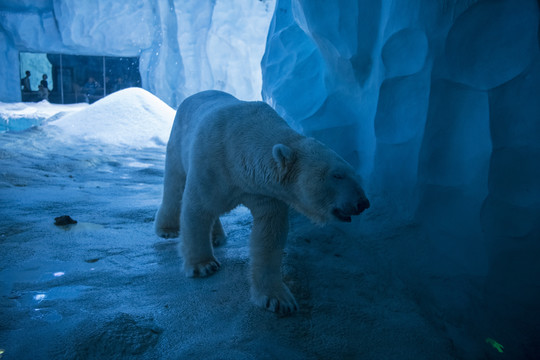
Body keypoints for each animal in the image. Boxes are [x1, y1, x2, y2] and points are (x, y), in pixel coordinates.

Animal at [154, 90, 370, 316]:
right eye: (337, 175)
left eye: (354, 173)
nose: (363, 203)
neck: (238, 147)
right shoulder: (211, 164)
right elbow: (198, 209)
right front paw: (203, 265)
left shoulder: (263, 191)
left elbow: (269, 233)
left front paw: (278, 299)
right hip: (178, 138)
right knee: (174, 183)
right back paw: (168, 229)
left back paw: (217, 237)